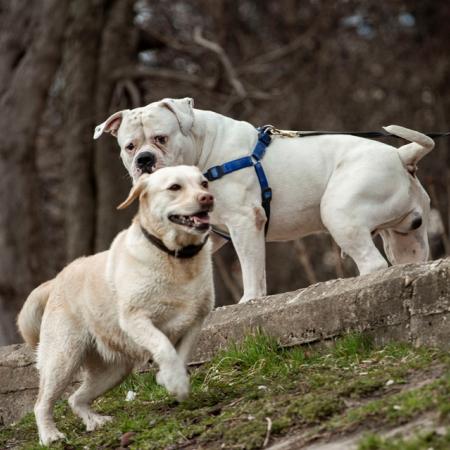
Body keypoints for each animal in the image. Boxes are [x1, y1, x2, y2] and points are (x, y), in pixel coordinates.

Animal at [17, 166, 214, 446]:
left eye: (204, 184)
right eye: (175, 187)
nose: (207, 198)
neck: (176, 259)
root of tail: (58, 278)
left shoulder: (195, 320)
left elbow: (182, 354)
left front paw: (172, 380)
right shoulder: (136, 319)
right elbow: (164, 347)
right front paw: (174, 382)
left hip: (114, 371)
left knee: (75, 398)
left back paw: (95, 421)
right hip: (62, 358)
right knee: (42, 403)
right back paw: (50, 435)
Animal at [93, 98, 434, 302]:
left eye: (161, 139)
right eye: (129, 146)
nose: (144, 160)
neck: (203, 149)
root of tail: (401, 155)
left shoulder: (245, 222)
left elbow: (251, 268)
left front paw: (250, 300)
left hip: (338, 211)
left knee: (372, 263)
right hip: (404, 238)